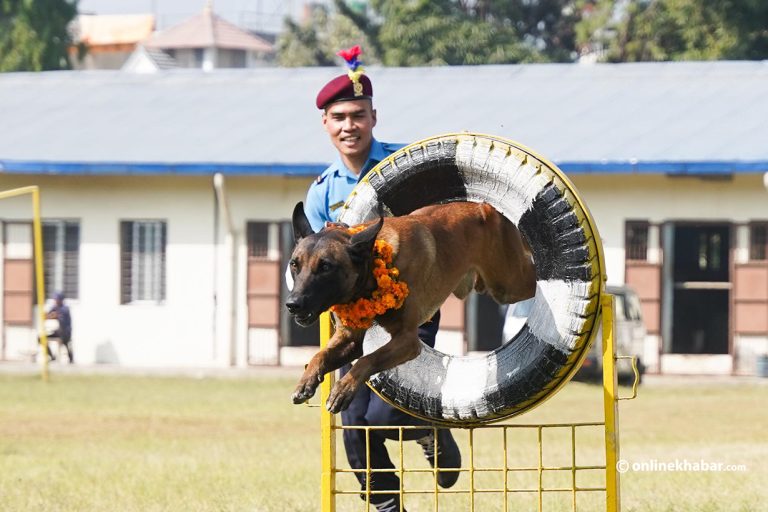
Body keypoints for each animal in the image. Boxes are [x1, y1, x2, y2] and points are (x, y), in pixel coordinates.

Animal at [284, 200, 536, 412]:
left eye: (325, 267)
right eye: (294, 264)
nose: (292, 304)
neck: (374, 266)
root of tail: (486, 206)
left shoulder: (407, 341)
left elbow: (368, 359)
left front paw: (343, 390)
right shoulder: (350, 339)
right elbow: (321, 355)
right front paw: (305, 381)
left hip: (509, 285)